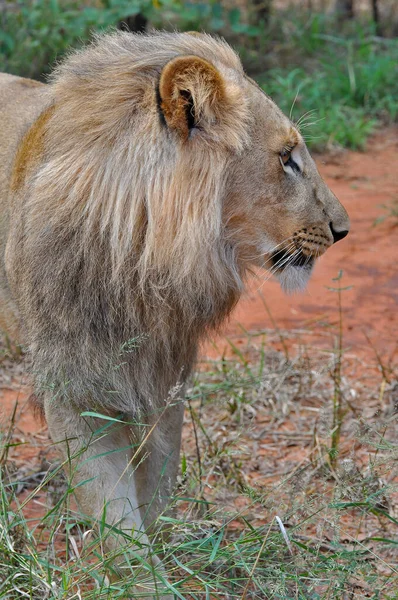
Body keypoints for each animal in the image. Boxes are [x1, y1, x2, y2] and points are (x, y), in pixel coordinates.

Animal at [0, 31, 348, 596]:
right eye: (286, 158)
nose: (343, 230)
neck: (142, 262)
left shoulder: (164, 370)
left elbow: (158, 476)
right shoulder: (75, 383)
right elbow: (111, 501)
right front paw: (144, 578)